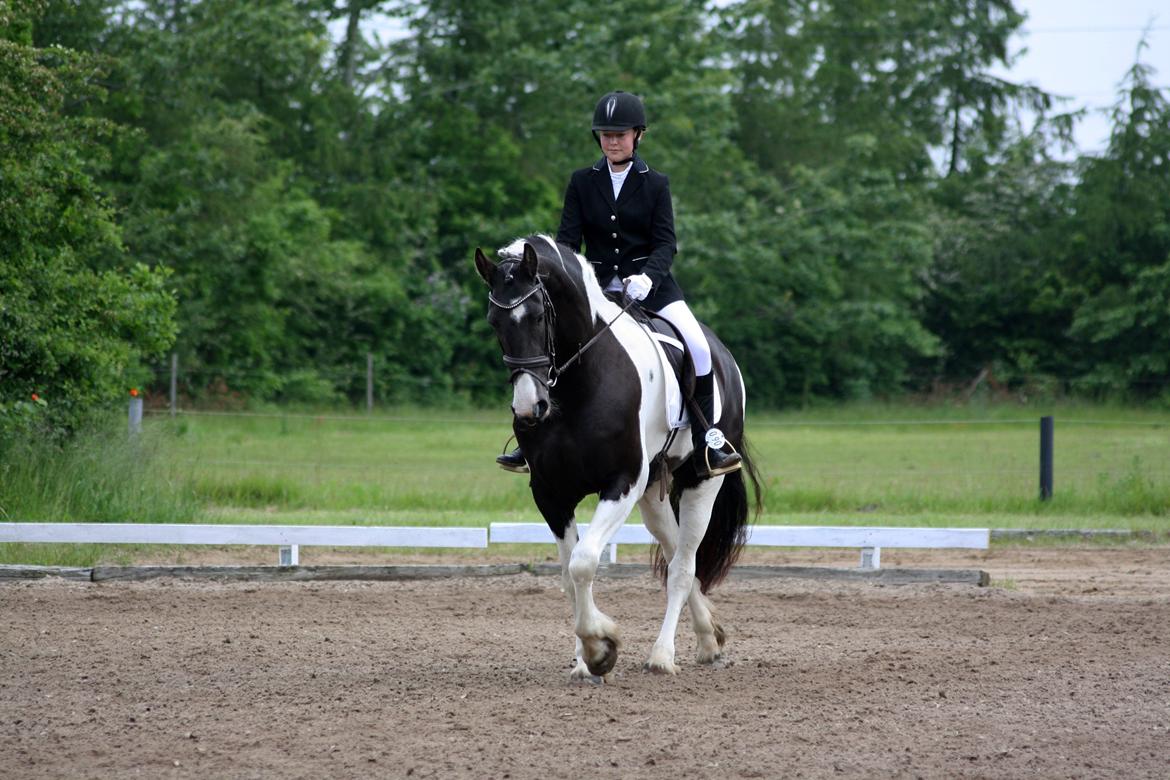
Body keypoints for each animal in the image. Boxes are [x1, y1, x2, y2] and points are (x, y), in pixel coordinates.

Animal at [470, 235, 762, 678]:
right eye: (493, 322)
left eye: (537, 316)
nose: (529, 408)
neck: (578, 384)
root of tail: (724, 354)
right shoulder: (550, 493)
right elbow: (568, 575)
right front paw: (584, 659)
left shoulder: (621, 483)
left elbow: (584, 562)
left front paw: (600, 648)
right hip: (652, 492)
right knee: (675, 549)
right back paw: (709, 638)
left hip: (702, 481)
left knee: (683, 567)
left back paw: (662, 656)